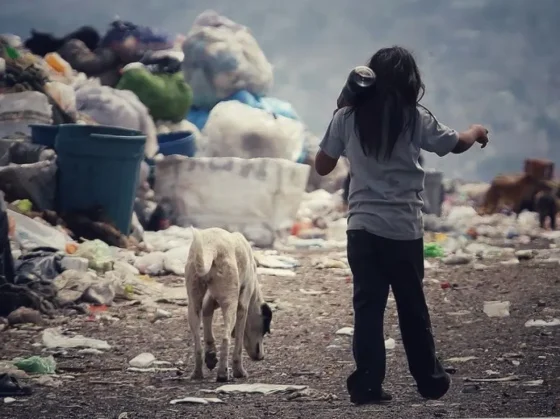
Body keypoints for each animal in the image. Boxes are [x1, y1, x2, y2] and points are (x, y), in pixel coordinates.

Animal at [185, 228, 272, 382]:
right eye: (265, 330)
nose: (262, 357)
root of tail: (211, 246)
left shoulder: (209, 301)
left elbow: (208, 326)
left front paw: (211, 355)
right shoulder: (242, 306)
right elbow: (238, 343)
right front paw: (239, 371)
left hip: (193, 304)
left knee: (197, 344)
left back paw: (197, 373)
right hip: (230, 304)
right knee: (225, 338)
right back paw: (222, 373)